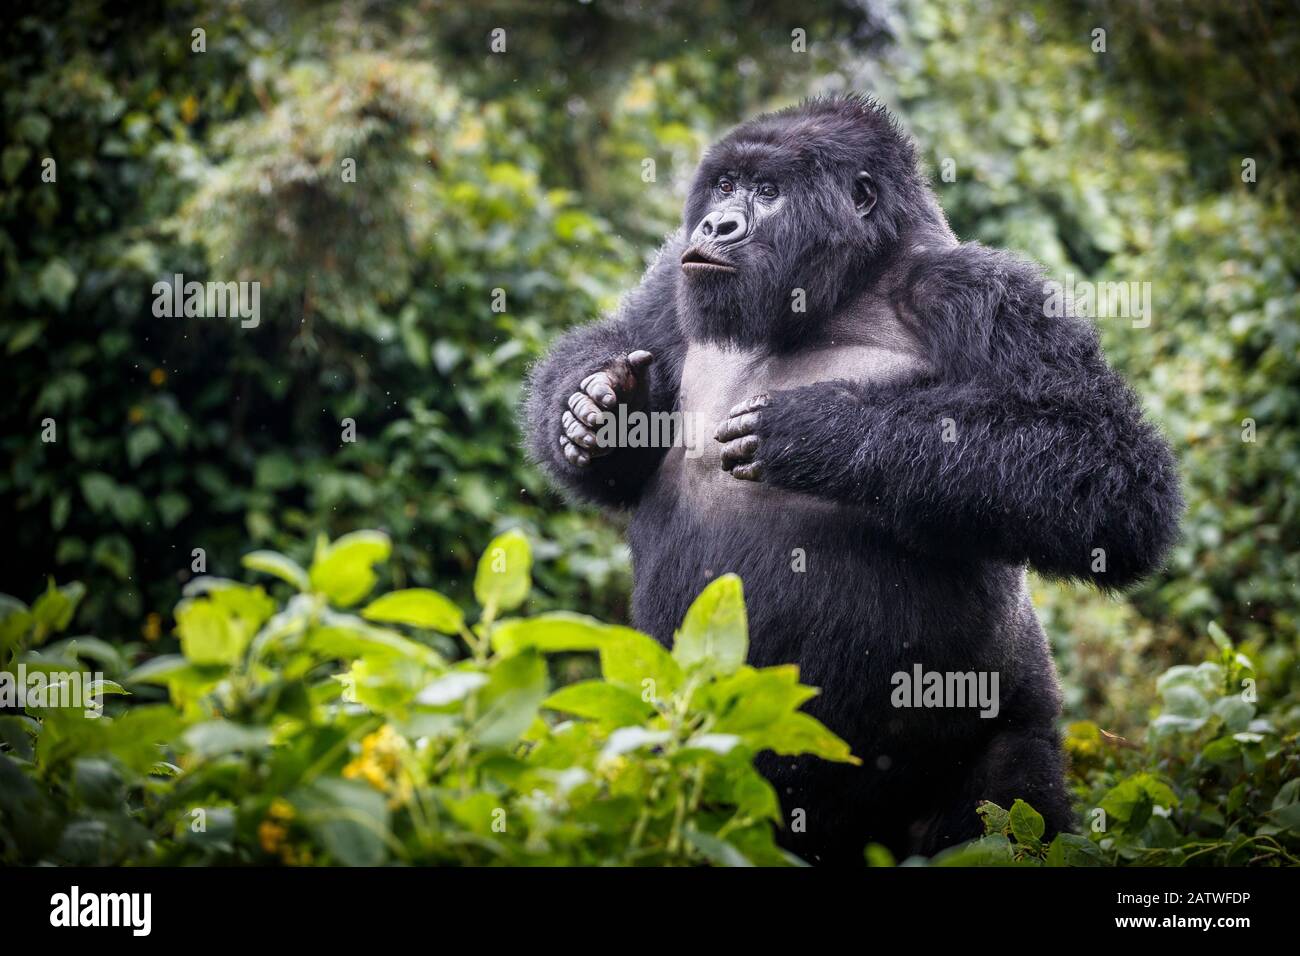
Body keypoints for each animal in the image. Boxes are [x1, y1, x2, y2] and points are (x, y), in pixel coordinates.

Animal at [522, 98, 1185, 868]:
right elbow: (623, 351)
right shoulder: (671, 272)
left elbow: (1115, 474)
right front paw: (599, 408)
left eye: (769, 192)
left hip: (1008, 729)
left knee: (1011, 802)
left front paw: (824, 431)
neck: (850, 281)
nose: (717, 226)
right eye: (725, 187)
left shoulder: (985, 292)